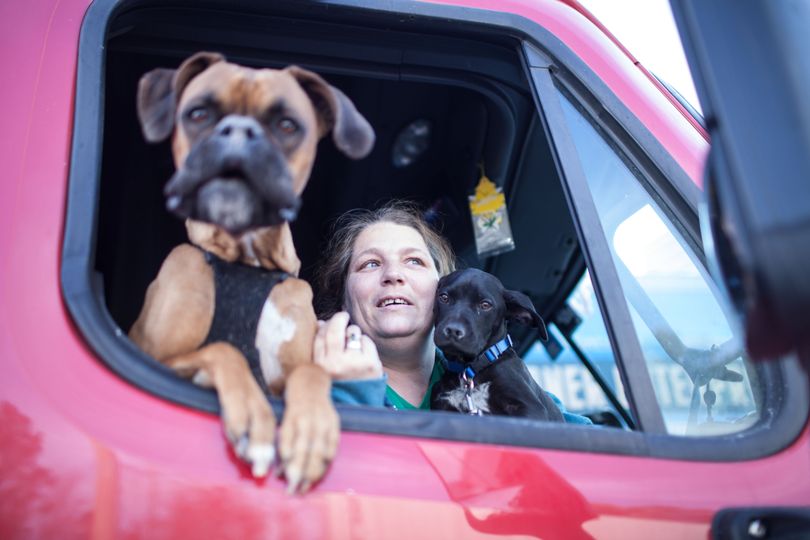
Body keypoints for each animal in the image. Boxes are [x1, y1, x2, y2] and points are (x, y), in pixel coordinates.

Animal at [130, 51, 376, 494]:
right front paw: (252, 419)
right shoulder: (154, 356)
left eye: (287, 125)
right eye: (198, 114)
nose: (239, 132)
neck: (245, 263)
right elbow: (224, 350)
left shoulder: (284, 376)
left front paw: (310, 431)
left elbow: (312, 371)